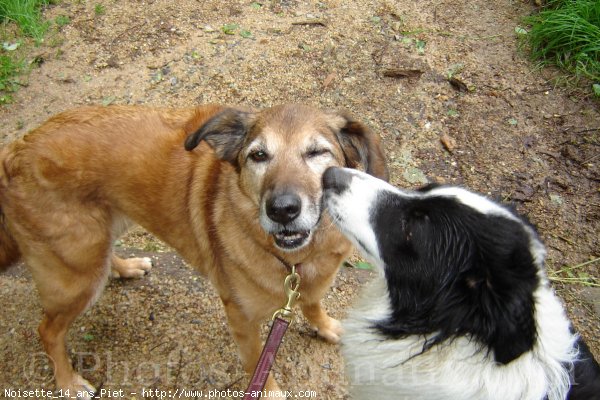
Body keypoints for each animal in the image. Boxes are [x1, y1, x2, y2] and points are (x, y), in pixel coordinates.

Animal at [0, 104, 390, 398]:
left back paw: (125, 267)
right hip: (75, 275)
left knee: (103, 257)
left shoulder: (310, 284)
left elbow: (313, 304)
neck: (294, 261)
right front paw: (270, 392)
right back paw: (68, 383)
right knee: (47, 330)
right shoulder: (241, 319)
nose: (282, 210)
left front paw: (327, 327)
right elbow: (257, 364)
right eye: (258, 156)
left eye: (317, 152)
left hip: (102, 233)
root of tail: (16, 149)